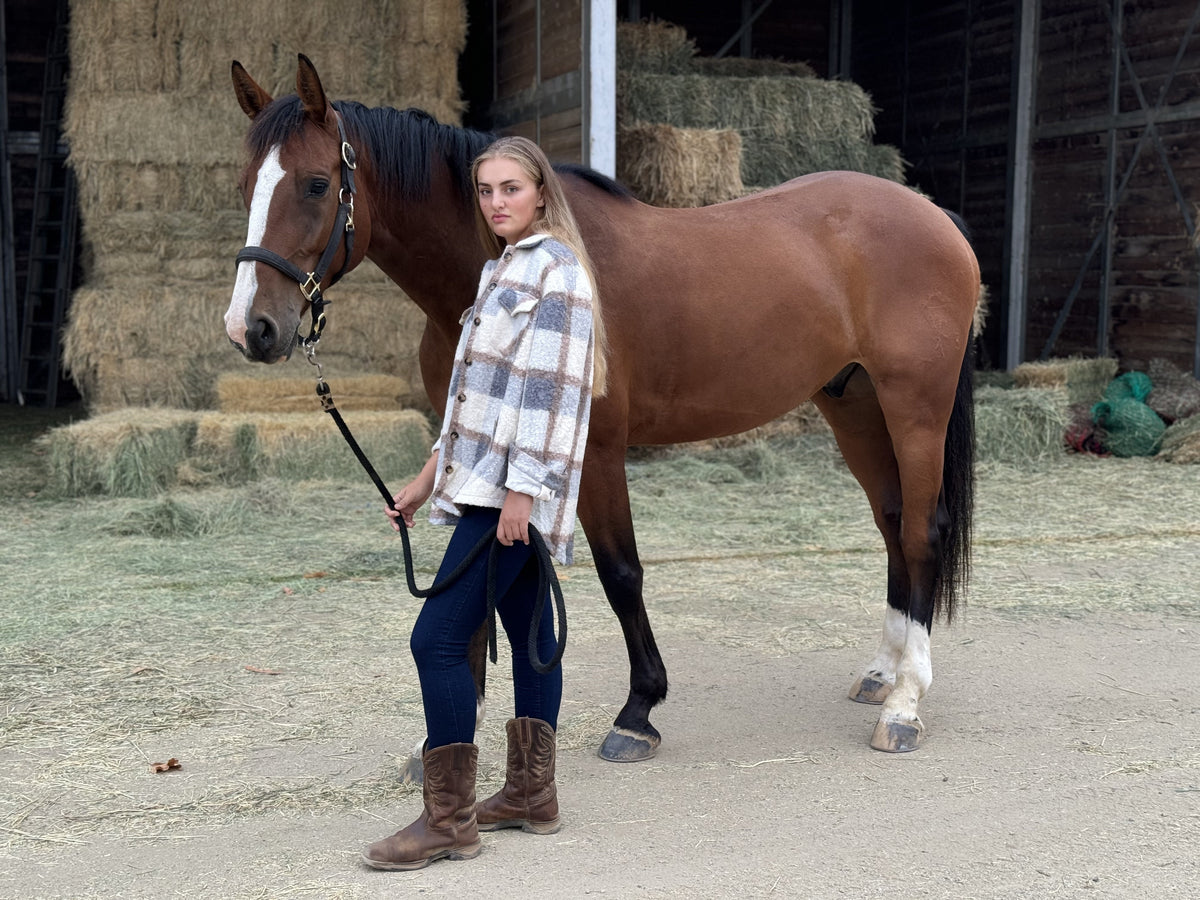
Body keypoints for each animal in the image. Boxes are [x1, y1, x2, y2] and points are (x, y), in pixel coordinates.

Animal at [224, 54, 979, 758]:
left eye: (316, 184)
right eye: (244, 184)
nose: (250, 329)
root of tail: (934, 214)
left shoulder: (596, 450)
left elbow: (622, 574)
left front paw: (638, 711)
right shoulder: (473, 441)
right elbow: (476, 578)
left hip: (913, 406)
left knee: (921, 529)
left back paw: (905, 703)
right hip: (852, 405)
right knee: (891, 520)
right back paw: (882, 673)